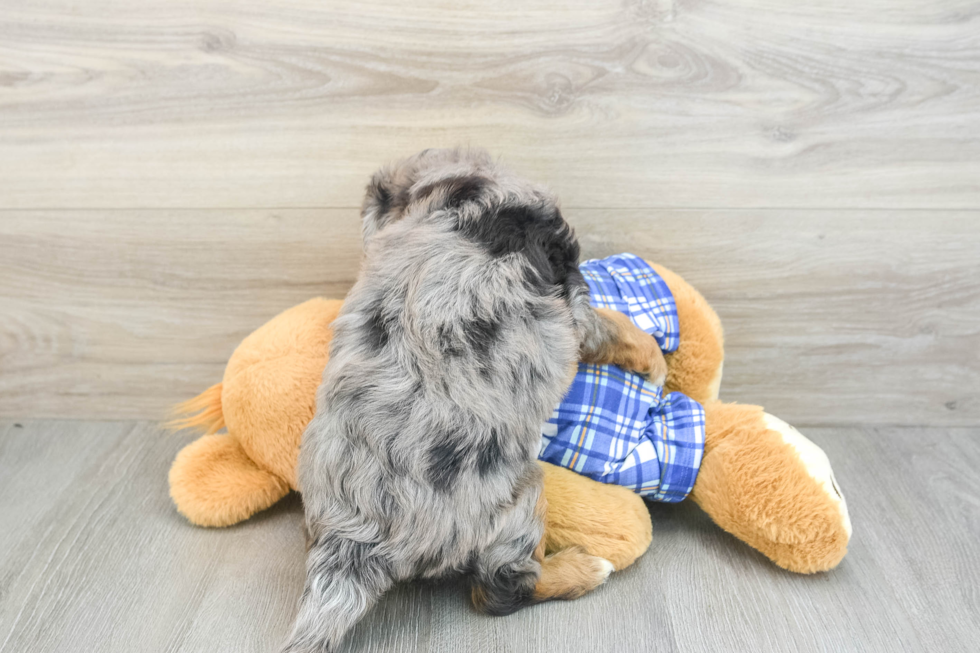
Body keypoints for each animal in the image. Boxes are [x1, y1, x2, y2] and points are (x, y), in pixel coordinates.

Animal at [280, 149, 668, 652]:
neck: (447, 192)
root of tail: (352, 542)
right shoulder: (572, 297)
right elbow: (611, 325)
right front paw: (655, 358)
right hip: (518, 500)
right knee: (498, 589)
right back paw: (583, 569)